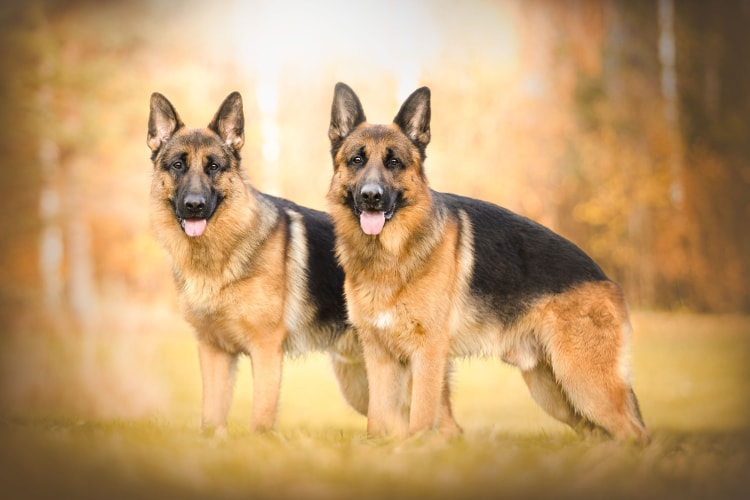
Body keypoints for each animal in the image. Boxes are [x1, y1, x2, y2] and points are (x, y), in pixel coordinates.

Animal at [147, 92, 370, 436]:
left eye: (213, 166)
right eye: (177, 165)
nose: (195, 206)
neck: (219, 258)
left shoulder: (265, 350)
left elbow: (261, 418)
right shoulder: (214, 352)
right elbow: (211, 417)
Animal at [328, 83, 652, 446]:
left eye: (394, 162)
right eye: (357, 160)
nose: (371, 196)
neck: (391, 255)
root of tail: (606, 279)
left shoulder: (427, 356)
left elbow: (421, 419)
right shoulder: (380, 358)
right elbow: (378, 423)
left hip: (585, 384)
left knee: (635, 434)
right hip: (555, 393)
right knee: (601, 434)